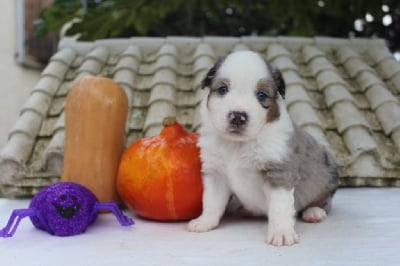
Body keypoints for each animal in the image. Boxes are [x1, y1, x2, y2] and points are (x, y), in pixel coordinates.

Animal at [188, 51, 338, 246]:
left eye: (261, 94)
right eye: (222, 89)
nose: (238, 116)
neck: (238, 144)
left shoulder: (279, 173)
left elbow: (279, 208)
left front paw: (281, 233)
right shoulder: (215, 173)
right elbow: (211, 201)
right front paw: (204, 221)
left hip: (328, 174)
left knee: (324, 202)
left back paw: (314, 212)